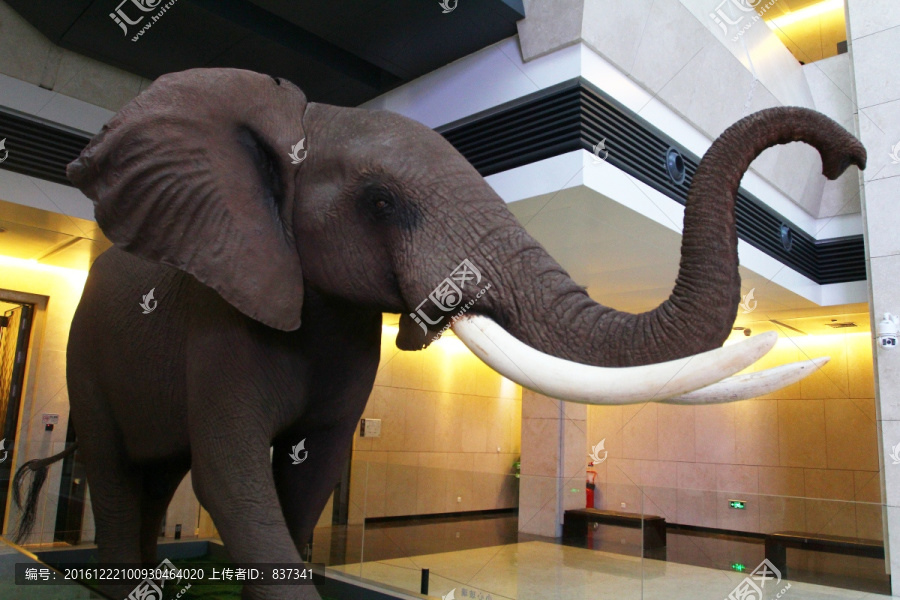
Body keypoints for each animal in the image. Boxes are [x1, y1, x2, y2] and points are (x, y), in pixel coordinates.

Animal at [11, 68, 865, 600]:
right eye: (383, 202)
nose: (846, 154)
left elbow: (308, 479)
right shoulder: (220, 319)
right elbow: (235, 482)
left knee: (152, 484)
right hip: (88, 356)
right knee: (117, 476)